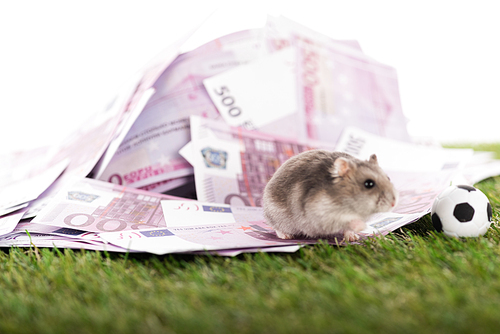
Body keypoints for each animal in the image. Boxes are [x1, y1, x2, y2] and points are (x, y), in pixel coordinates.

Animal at [262, 150, 398, 241]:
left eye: (388, 178)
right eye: (368, 184)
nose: (393, 204)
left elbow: (348, 228)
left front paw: (353, 237)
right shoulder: (321, 215)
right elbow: (347, 221)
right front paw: (362, 227)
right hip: (277, 216)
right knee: (277, 227)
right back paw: (286, 236)